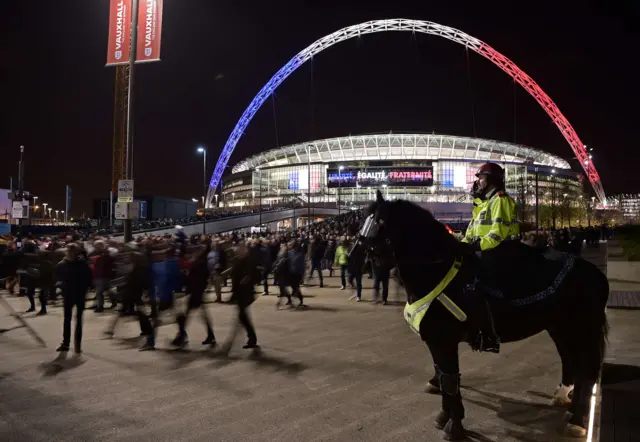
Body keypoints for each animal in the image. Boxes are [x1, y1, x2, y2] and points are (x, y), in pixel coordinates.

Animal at [356, 194, 608, 442]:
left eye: (375, 223)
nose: (359, 262)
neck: (437, 271)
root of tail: (595, 273)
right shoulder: (435, 343)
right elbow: (444, 377)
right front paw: (444, 416)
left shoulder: (444, 341)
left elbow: (450, 380)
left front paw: (454, 426)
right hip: (559, 328)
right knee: (570, 360)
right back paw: (566, 402)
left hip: (581, 329)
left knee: (585, 369)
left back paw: (576, 420)